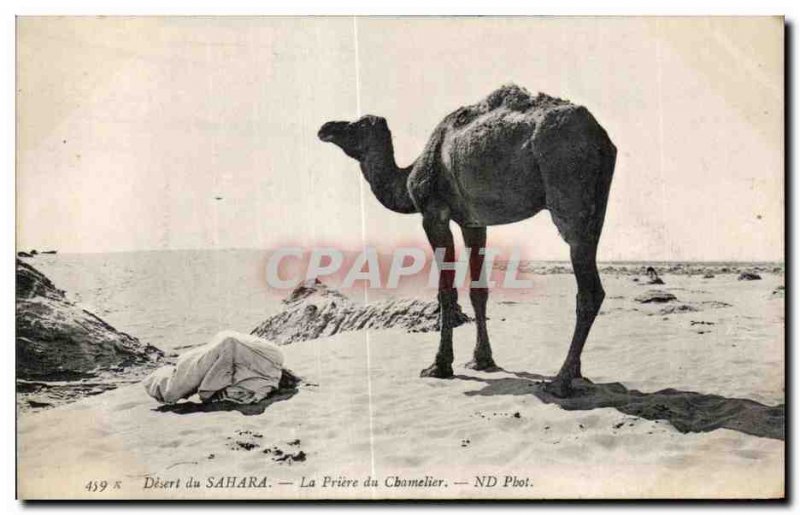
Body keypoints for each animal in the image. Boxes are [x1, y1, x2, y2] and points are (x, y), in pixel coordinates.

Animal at [318, 85, 620, 400]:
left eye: (358, 125)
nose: (326, 127)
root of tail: (599, 136)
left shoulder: (434, 214)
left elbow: (445, 291)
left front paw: (439, 366)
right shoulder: (473, 223)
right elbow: (479, 291)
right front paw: (481, 360)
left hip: (567, 185)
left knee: (589, 289)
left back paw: (560, 382)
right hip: (597, 201)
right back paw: (576, 373)